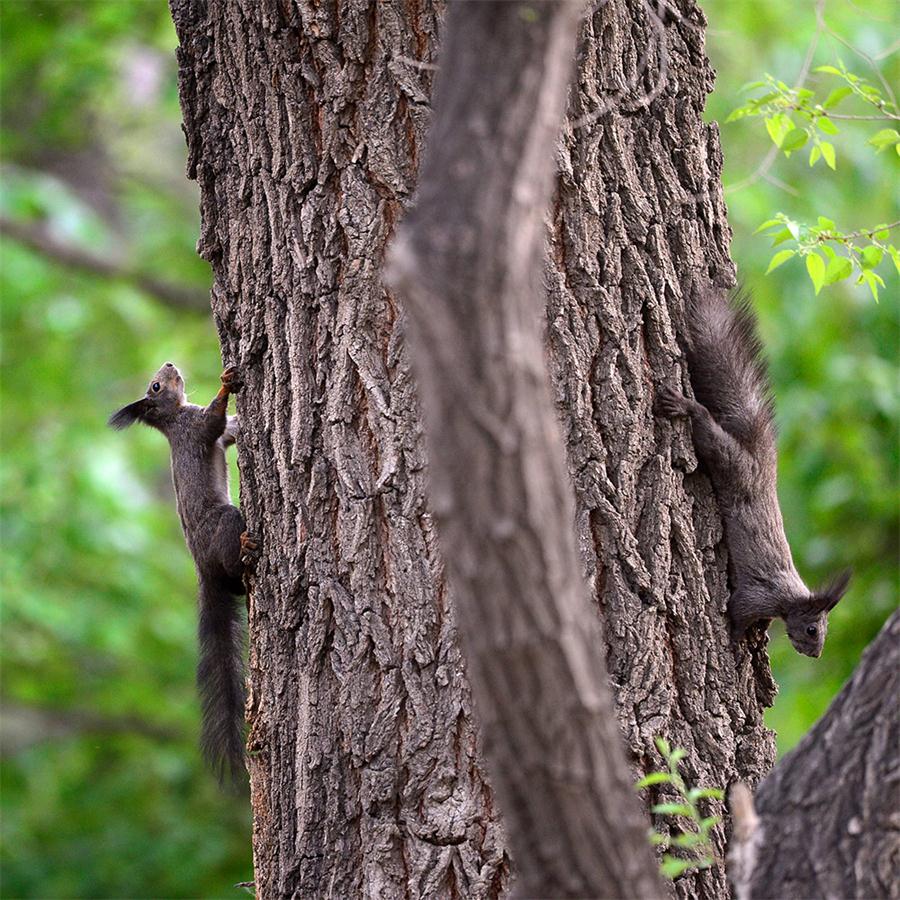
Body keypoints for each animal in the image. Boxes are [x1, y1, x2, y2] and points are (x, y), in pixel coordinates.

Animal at [110, 362, 256, 784]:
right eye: (156, 386)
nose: (171, 364)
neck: (174, 417)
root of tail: (201, 566)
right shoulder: (195, 427)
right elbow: (213, 421)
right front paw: (226, 383)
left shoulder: (210, 433)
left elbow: (228, 432)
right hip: (224, 524)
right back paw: (247, 550)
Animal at [652, 284, 852, 656]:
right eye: (813, 629)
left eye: (824, 632)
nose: (815, 654)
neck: (790, 597)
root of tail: (763, 466)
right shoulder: (759, 595)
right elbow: (738, 611)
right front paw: (733, 638)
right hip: (730, 462)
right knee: (707, 428)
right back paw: (685, 406)